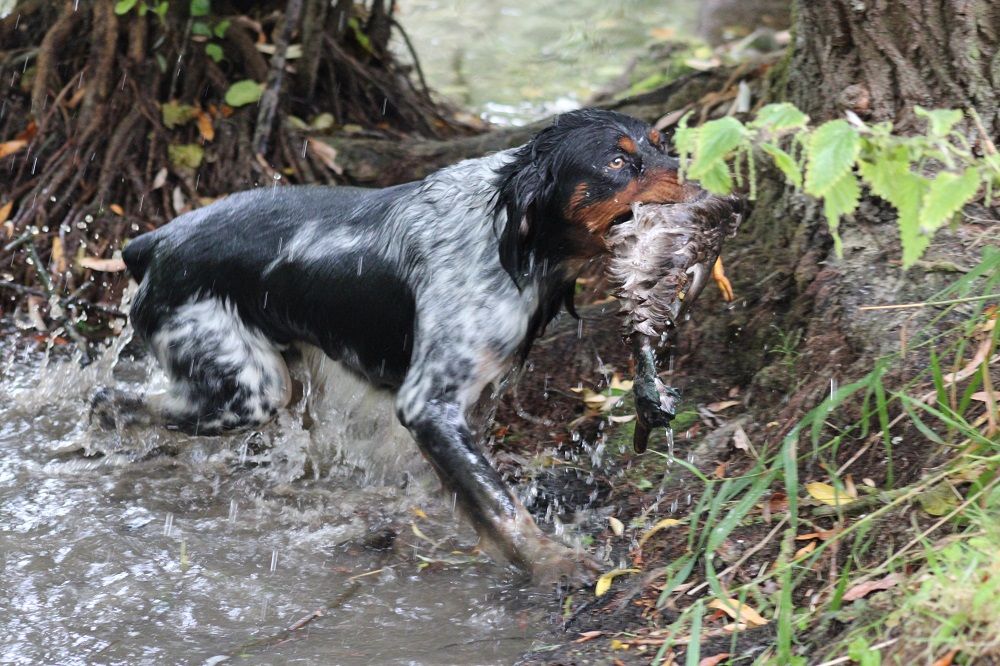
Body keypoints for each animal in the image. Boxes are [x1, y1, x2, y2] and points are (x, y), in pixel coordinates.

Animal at [95, 109, 704, 580]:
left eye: (662, 146)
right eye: (617, 163)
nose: (699, 186)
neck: (510, 235)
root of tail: (154, 243)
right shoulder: (428, 404)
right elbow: (500, 504)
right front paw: (551, 563)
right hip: (247, 390)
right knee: (110, 401)